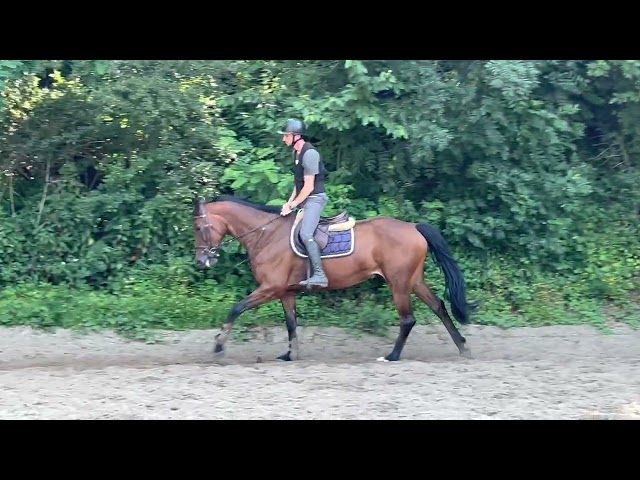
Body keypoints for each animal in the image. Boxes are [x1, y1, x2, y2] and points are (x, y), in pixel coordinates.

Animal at [193, 194, 478, 363]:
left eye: (197, 227)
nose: (202, 261)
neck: (266, 234)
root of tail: (412, 227)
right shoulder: (286, 292)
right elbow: (291, 323)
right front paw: (290, 354)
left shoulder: (269, 288)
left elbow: (236, 308)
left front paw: (218, 346)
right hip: (414, 280)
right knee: (439, 306)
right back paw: (462, 347)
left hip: (398, 283)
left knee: (408, 319)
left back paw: (393, 355)